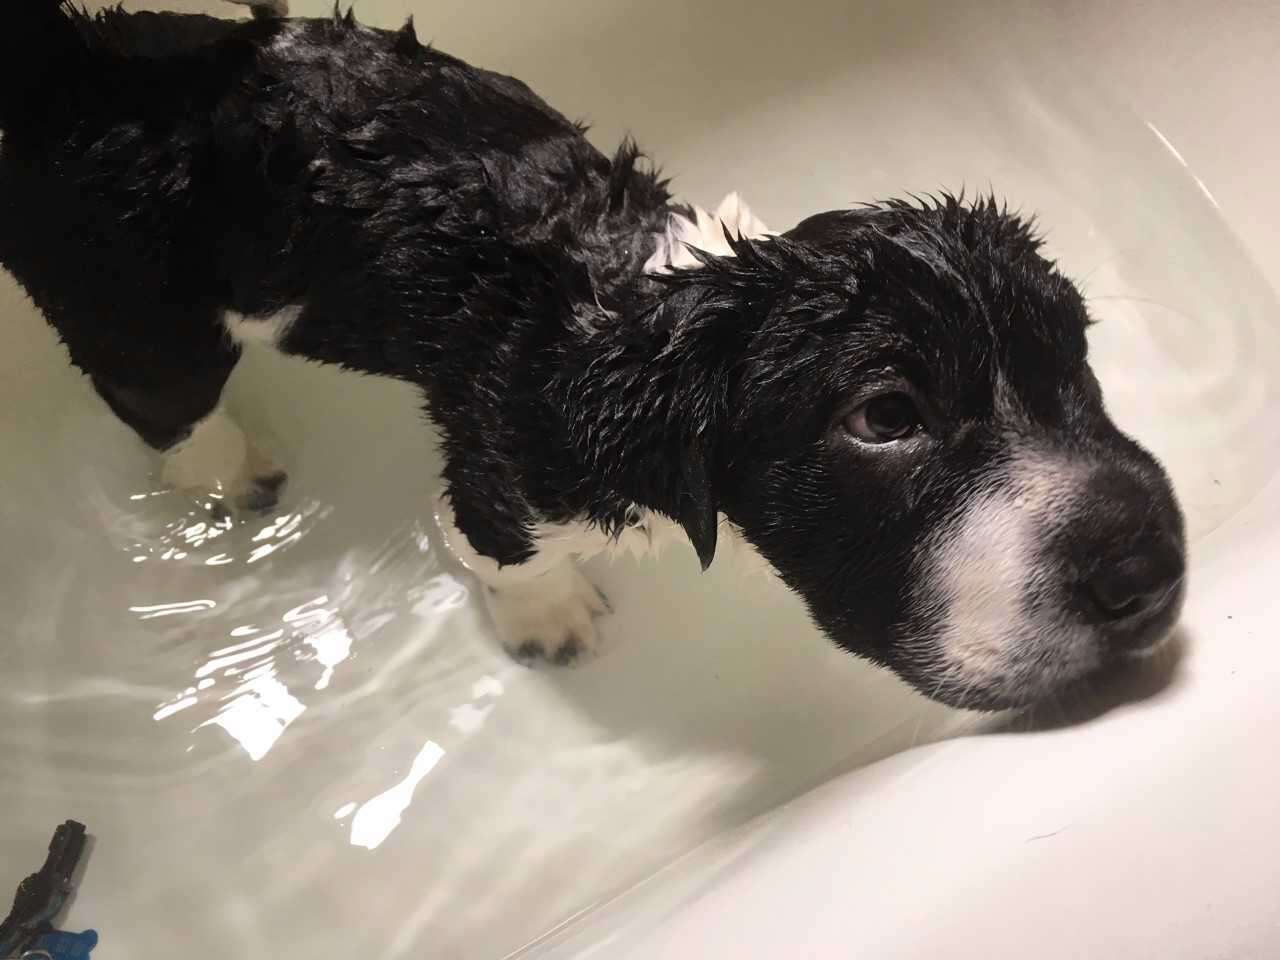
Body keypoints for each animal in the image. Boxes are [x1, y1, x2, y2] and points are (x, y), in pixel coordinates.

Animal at [0, 1, 1182, 716]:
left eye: (1075, 355)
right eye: (885, 418)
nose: (1147, 569)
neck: (640, 296)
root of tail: (70, 67)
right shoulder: (508, 470)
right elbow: (500, 550)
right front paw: (548, 621)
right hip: (142, 317)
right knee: (165, 405)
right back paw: (229, 477)